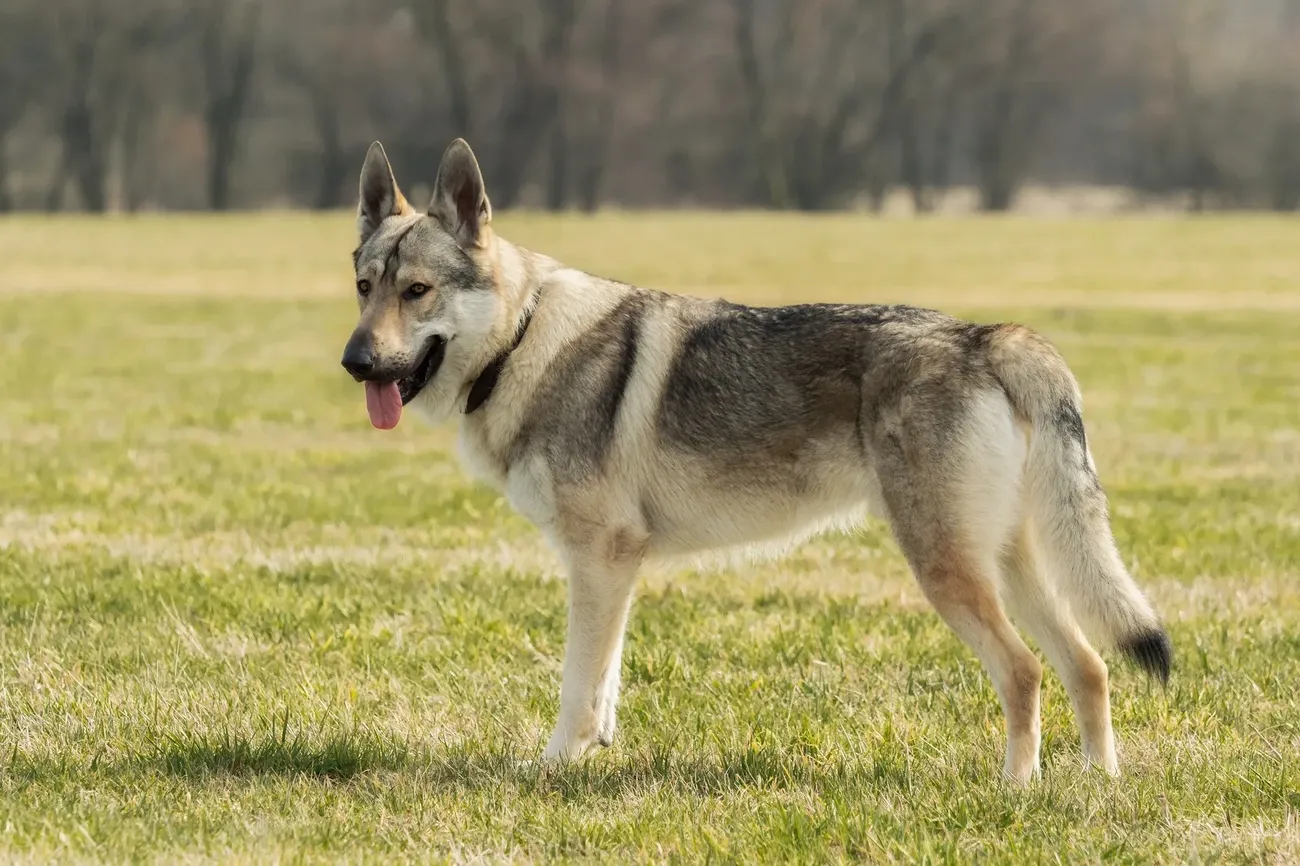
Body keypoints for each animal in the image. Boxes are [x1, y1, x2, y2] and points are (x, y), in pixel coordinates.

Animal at [339, 138, 1171, 783]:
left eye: (418, 291)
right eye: (363, 287)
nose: (354, 362)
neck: (523, 341)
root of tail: (989, 335)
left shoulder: (599, 558)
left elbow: (576, 686)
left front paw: (550, 769)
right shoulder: (615, 565)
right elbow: (605, 681)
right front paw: (594, 751)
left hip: (947, 571)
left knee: (1026, 671)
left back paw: (1016, 790)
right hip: (1008, 564)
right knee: (1089, 666)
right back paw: (1096, 785)